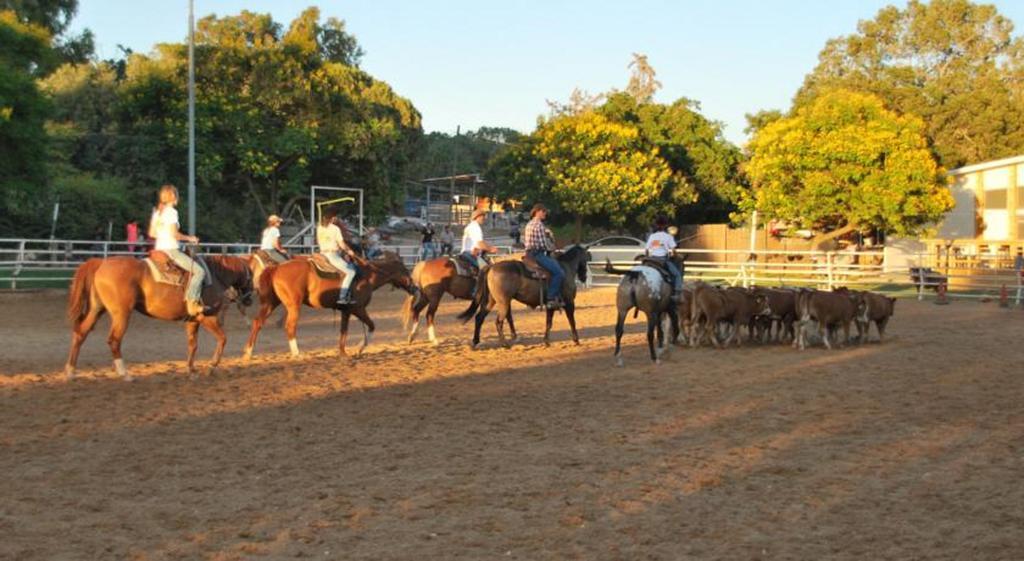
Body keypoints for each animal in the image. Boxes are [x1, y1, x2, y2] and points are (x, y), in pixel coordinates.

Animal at [64, 253, 253, 380]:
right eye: (251, 275)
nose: (249, 299)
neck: (215, 275)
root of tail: (101, 263)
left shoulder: (192, 320)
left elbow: (193, 345)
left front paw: (191, 370)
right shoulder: (206, 317)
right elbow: (222, 339)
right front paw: (211, 367)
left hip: (97, 309)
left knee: (81, 333)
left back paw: (71, 371)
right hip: (121, 314)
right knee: (114, 340)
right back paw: (125, 373)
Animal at [241, 250, 413, 360]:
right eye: (406, 271)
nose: (414, 287)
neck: (368, 275)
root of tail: (276, 267)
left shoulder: (346, 310)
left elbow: (343, 331)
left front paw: (343, 353)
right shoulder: (358, 309)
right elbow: (371, 326)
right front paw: (359, 348)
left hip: (271, 303)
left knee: (257, 322)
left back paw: (248, 352)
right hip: (293, 305)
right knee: (290, 326)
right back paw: (297, 353)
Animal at [458, 244, 593, 348]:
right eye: (585, 260)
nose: (583, 277)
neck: (565, 269)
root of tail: (491, 266)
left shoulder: (550, 305)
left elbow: (548, 323)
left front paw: (546, 342)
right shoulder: (569, 302)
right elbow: (572, 321)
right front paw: (576, 340)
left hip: (491, 301)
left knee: (479, 318)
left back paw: (475, 342)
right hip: (503, 302)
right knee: (498, 322)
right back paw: (504, 344)